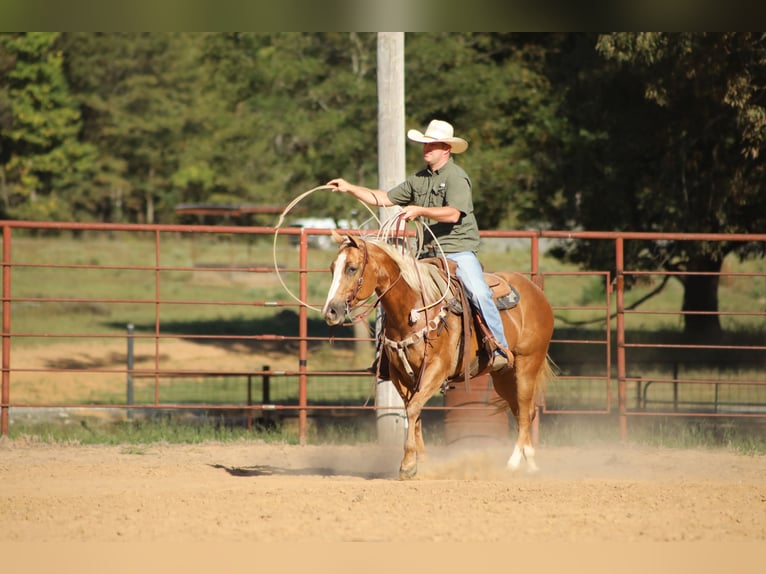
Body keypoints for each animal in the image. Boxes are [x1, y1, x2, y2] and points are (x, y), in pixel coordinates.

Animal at [320, 232, 556, 480]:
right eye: (332, 267)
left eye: (352, 268)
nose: (330, 311)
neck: (412, 308)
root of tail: (536, 291)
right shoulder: (401, 375)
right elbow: (414, 413)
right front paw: (422, 464)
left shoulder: (436, 370)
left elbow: (413, 409)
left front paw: (407, 465)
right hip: (503, 375)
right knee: (523, 410)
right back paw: (530, 464)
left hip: (528, 364)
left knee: (524, 410)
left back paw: (512, 463)